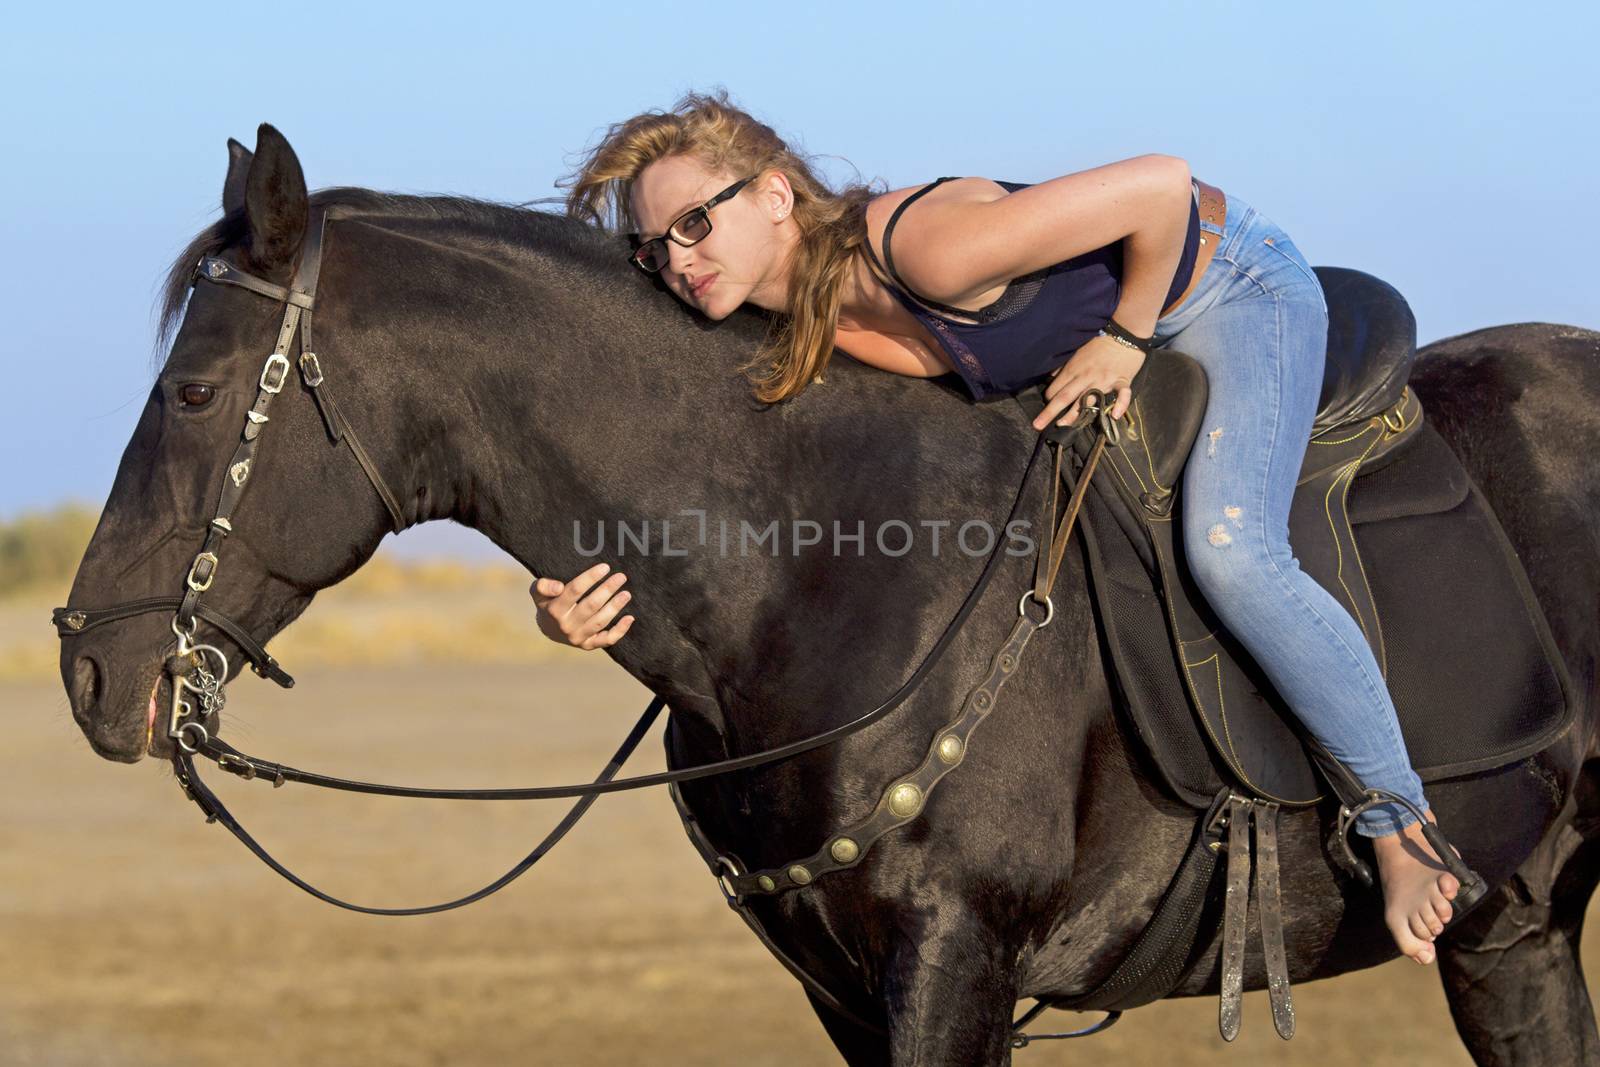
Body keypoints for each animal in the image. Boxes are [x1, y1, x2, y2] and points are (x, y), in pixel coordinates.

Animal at [56, 127, 1593, 1067]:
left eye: (193, 391)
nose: (85, 667)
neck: (822, 566)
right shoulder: (842, 987)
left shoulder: (952, 960)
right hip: (1517, 938)